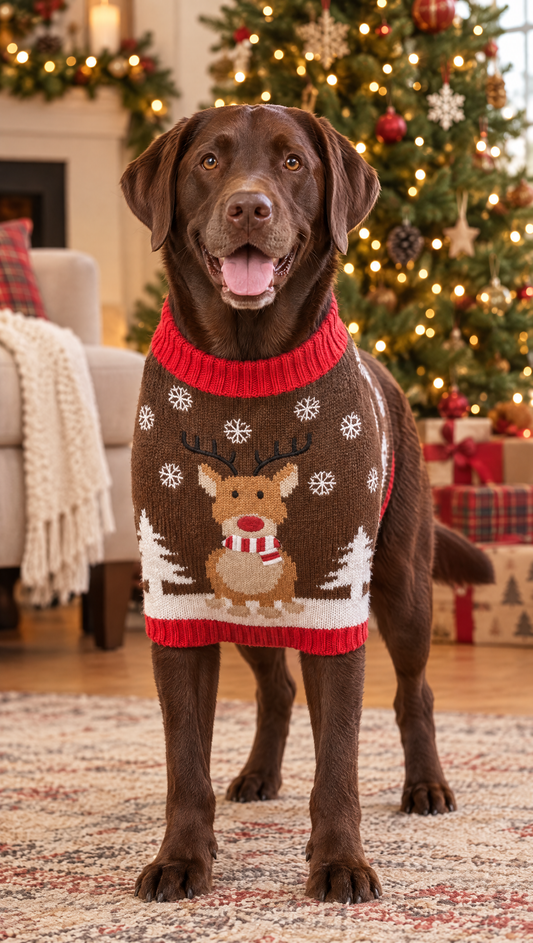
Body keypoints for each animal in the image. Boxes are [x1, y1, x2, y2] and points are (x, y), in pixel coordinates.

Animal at [182, 432, 311, 620]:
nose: (250, 522)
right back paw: (216, 602)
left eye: (261, 494)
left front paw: (269, 612)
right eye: (234, 493)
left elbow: (268, 600)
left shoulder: (272, 587)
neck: (249, 547)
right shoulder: (231, 587)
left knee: (287, 594)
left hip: (290, 571)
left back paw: (292, 607)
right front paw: (238, 611)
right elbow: (237, 600)